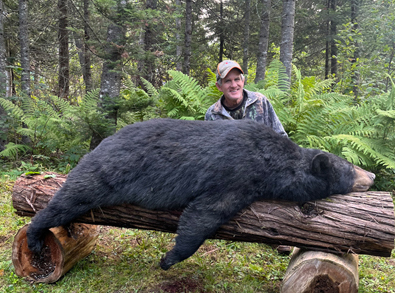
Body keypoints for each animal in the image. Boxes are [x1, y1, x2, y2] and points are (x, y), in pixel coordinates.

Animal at [26, 117, 376, 268]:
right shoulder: (236, 173)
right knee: (70, 197)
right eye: (349, 168)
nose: (371, 174)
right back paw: (35, 234)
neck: (273, 159)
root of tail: (101, 142)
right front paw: (169, 258)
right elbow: (203, 214)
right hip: (106, 172)